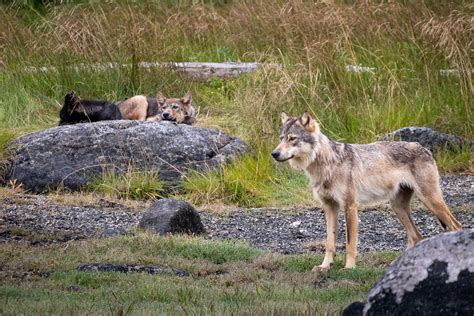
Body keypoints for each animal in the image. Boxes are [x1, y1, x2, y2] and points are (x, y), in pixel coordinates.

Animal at [272, 111, 462, 272]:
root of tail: (424, 148)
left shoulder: (350, 206)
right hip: (398, 207)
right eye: (281, 138)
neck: (326, 163)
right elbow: (330, 244)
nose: (274, 153)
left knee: (456, 227)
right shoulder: (329, 207)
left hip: (430, 201)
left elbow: (350, 243)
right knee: (416, 236)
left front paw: (348, 268)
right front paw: (324, 267)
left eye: (292, 138)